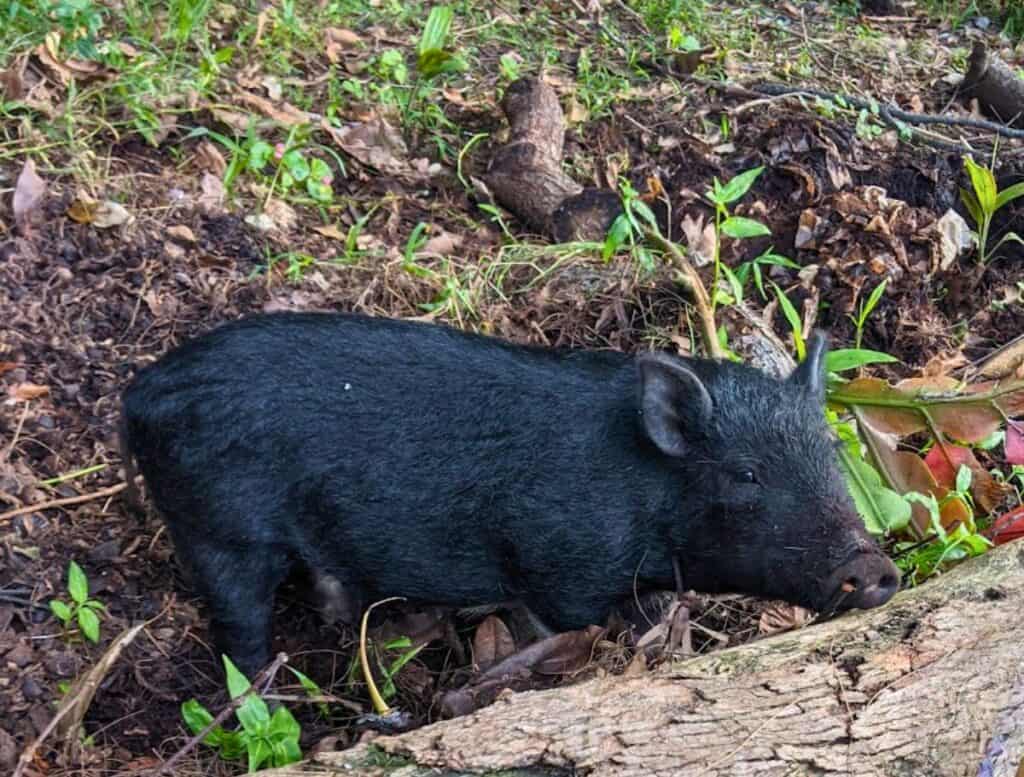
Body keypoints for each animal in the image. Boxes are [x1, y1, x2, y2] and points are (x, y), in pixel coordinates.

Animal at [120, 312, 900, 675]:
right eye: (746, 475)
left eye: (831, 453)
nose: (874, 567)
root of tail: (140, 391)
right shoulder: (554, 559)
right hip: (219, 528)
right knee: (238, 629)